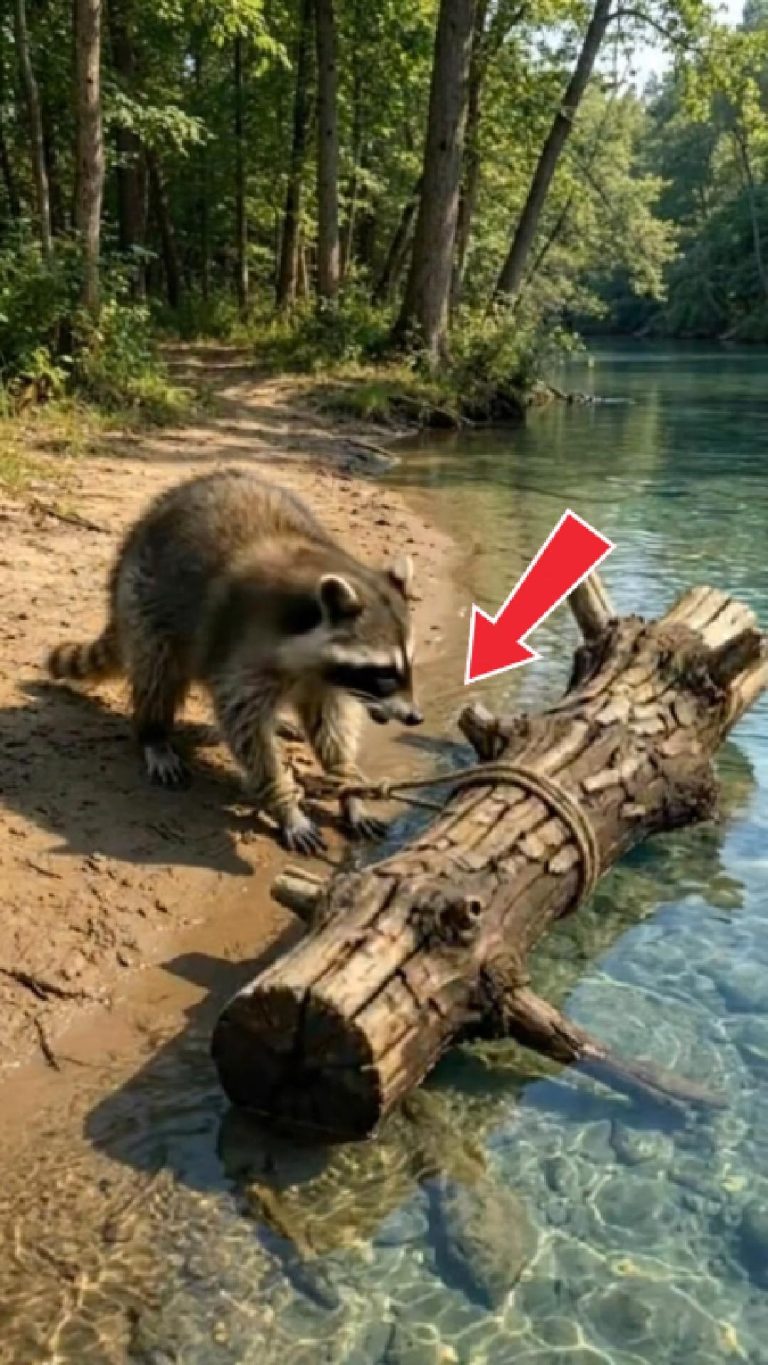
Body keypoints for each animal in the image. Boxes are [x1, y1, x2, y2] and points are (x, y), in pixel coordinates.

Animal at [47, 468, 422, 854]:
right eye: (384, 673)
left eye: (407, 666)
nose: (414, 717)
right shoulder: (246, 650)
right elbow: (247, 728)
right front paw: (285, 803)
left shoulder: (326, 680)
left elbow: (331, 729)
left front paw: (349, 787)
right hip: (144, 600)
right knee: (157, 671)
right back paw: (154, 733)